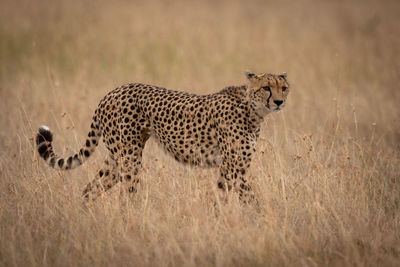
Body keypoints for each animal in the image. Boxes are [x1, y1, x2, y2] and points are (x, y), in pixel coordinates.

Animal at [36, 71, 290, 203]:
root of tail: (111, 92)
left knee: (91, 188)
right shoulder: (232, 167)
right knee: (126, 195)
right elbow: (245, 197)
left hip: (116, 158)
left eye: (284, 87)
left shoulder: (236, 167)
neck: (253, 110)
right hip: (129, 157)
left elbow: (237, 197)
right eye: (266, 87)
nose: (279, 102)